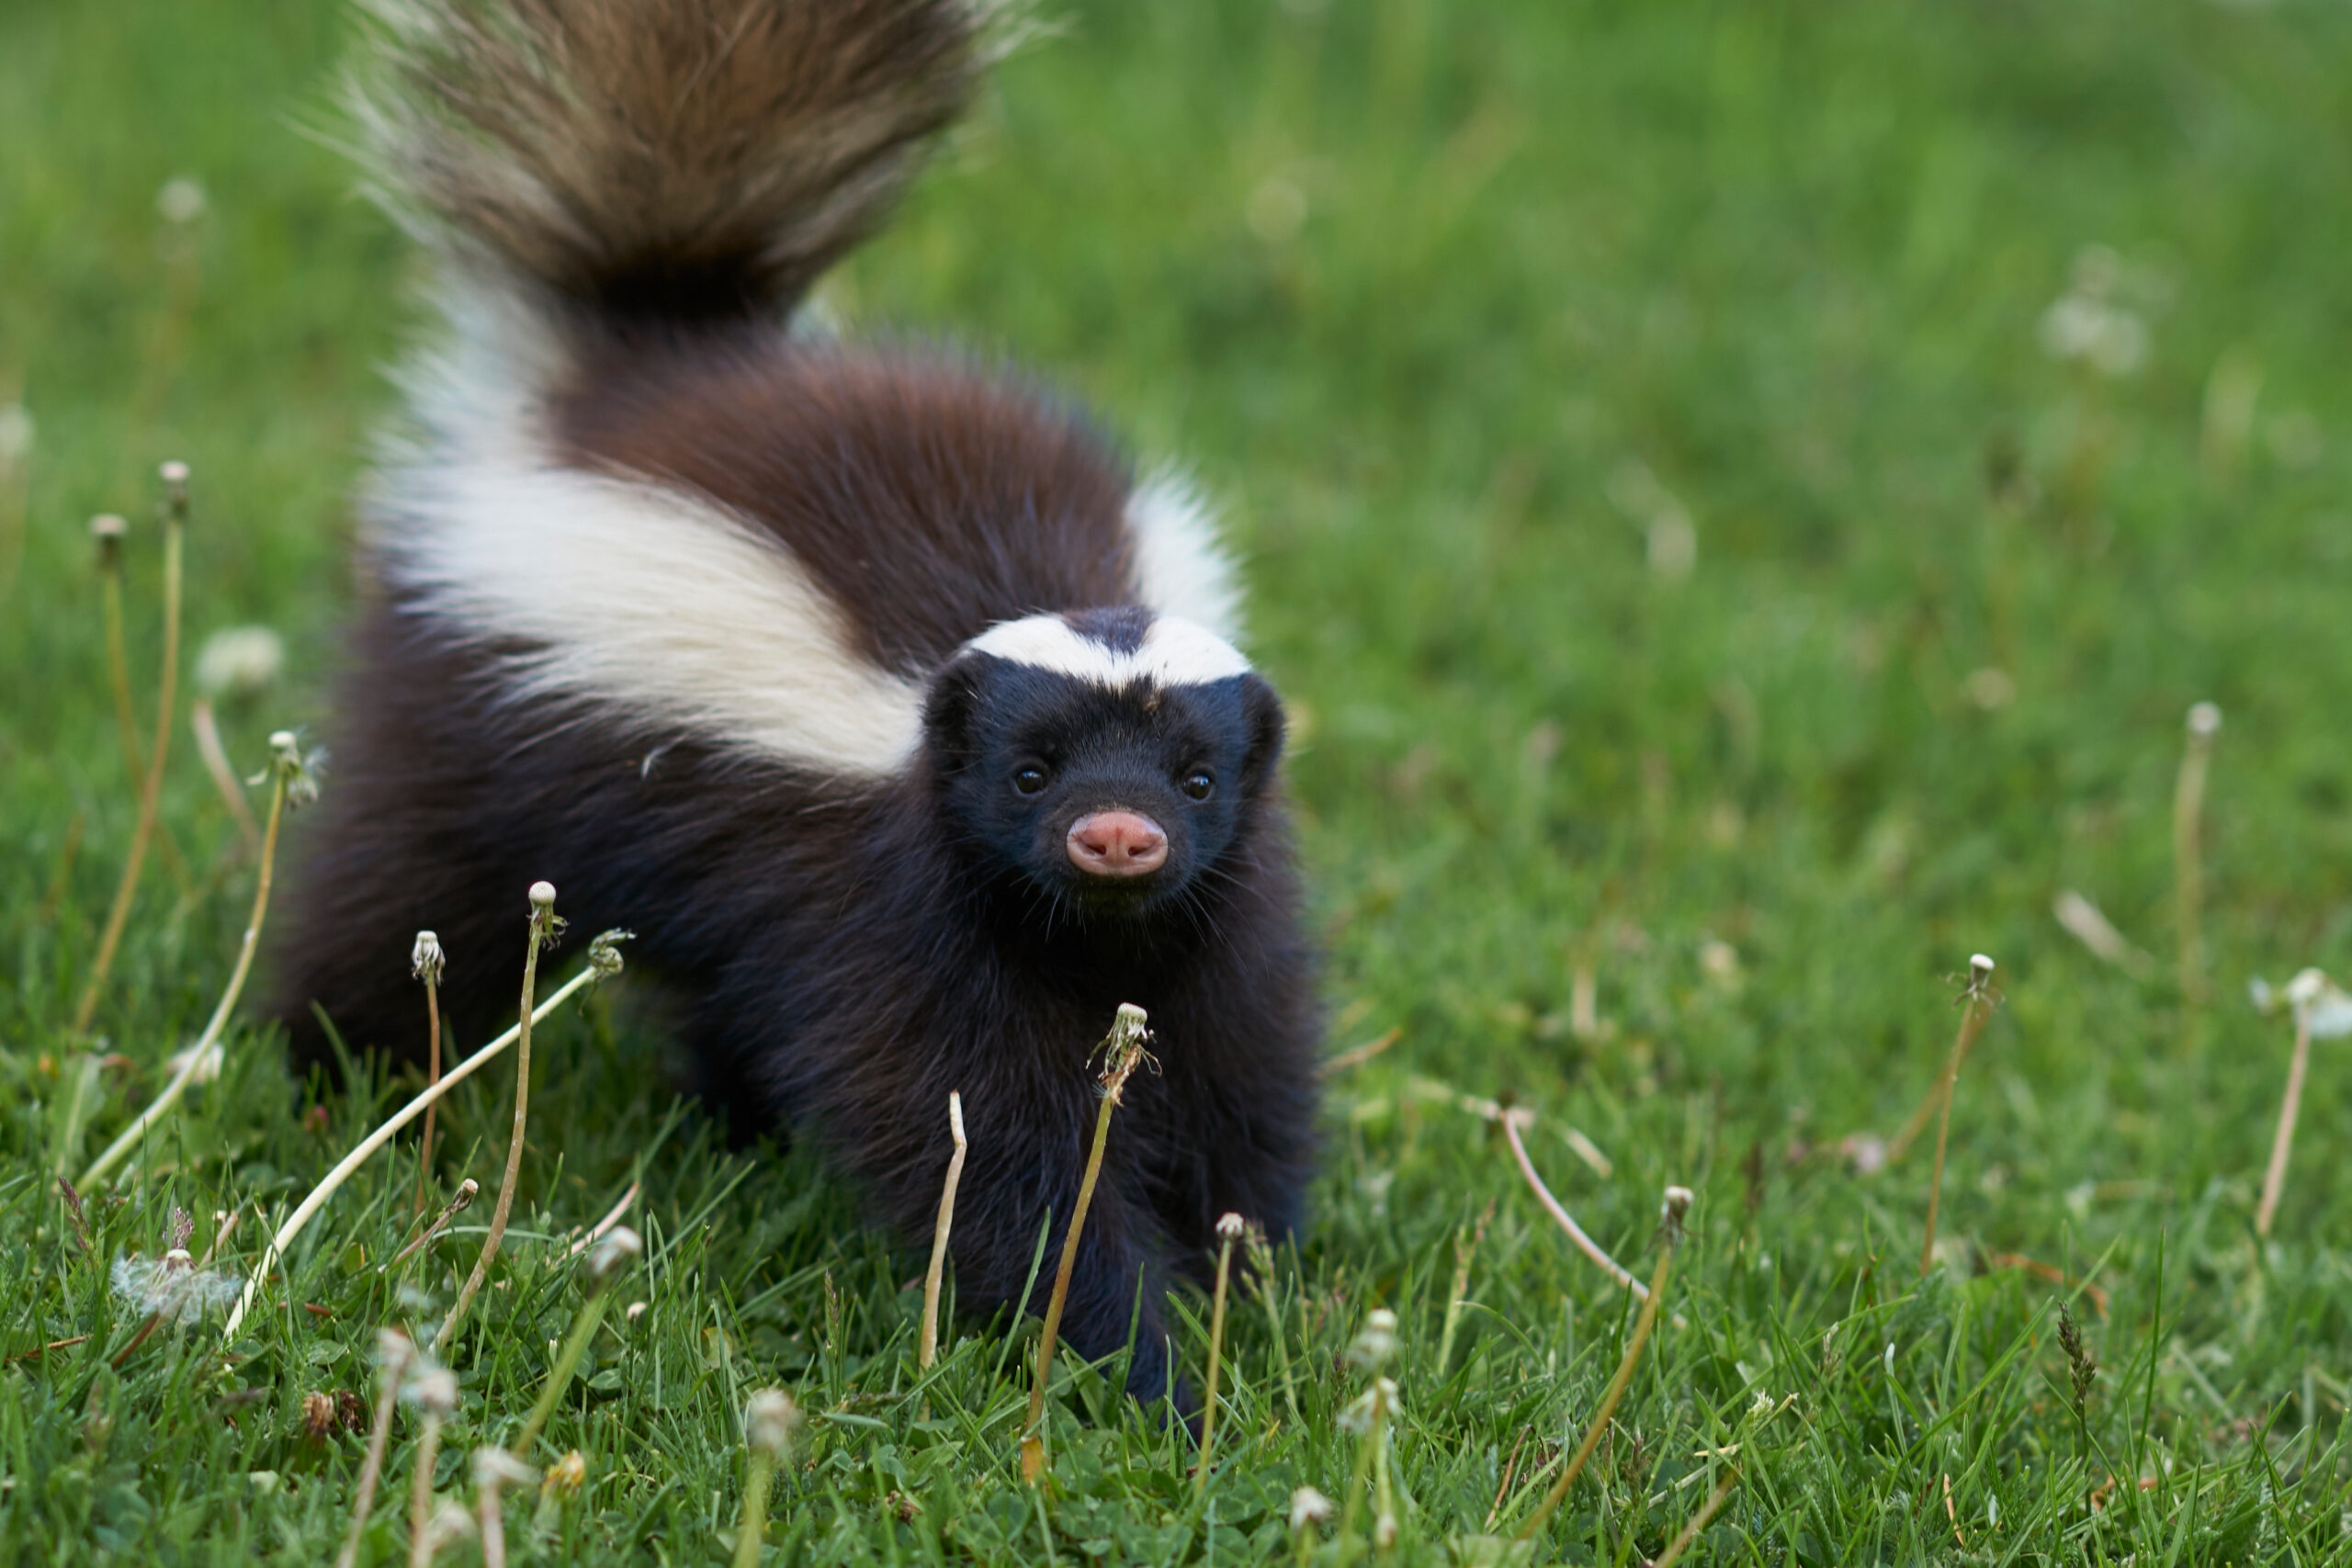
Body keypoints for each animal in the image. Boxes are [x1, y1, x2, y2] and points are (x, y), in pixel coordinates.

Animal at [275, 0, 1326, 1401]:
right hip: (460, 725)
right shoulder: (904, 905)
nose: (1118, 836)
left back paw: (729, 1128)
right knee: (394, 908)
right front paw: (1129, 1360)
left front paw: (1241, 1299)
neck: (1085, 933)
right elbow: (983, 1141)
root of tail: (653, 366)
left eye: (1197, 778)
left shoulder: (1218, 909)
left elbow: (1235, 1078)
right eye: (1029, 771)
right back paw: (335, 1078)